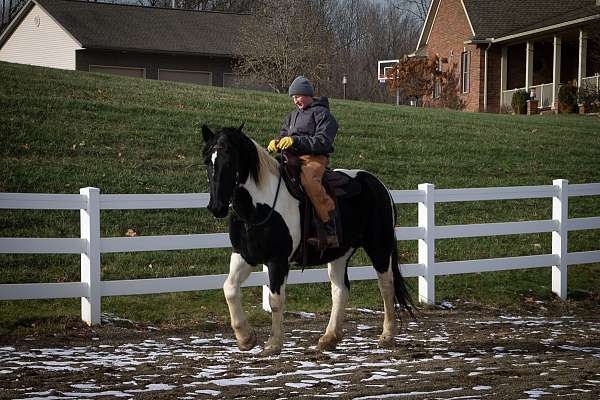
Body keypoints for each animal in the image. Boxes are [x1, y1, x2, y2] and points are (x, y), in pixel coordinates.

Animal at [202, 126, 412, 356]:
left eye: (230, 161)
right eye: (207, 162)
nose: (216, 207)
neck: (258, 207)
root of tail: (379, 185)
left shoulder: (277, 261)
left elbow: (275, 301)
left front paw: (273, 343)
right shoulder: (244, 255)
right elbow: (229, 289)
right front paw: (246, 338)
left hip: (380, 247)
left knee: (386, 285)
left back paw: (387, 335)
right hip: (339, 254)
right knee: (340, 290)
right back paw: (329, 338)